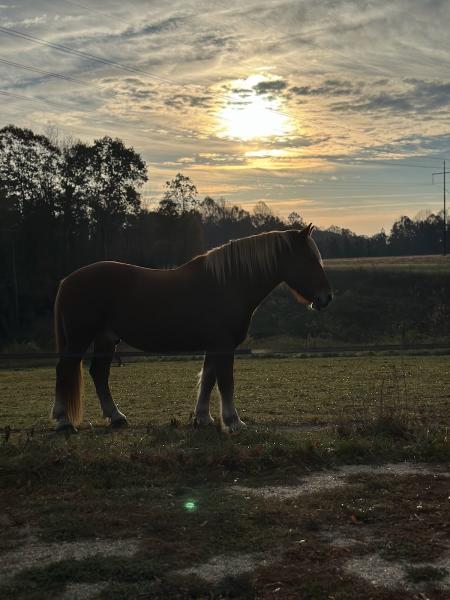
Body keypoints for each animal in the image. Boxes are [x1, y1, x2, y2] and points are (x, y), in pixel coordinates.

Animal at [51, 224, 332, 432]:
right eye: (309, 259)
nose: (326, 298)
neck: (229, 282)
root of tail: (67, 280)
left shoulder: (214, 345)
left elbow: (207, 379)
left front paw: (203, 418)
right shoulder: (223, 345)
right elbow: (225, 382)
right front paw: (233, 421)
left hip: (106, 339)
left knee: (99, 374)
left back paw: (117, 417)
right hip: (80, 338)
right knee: (65, 370)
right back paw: (63, 421)